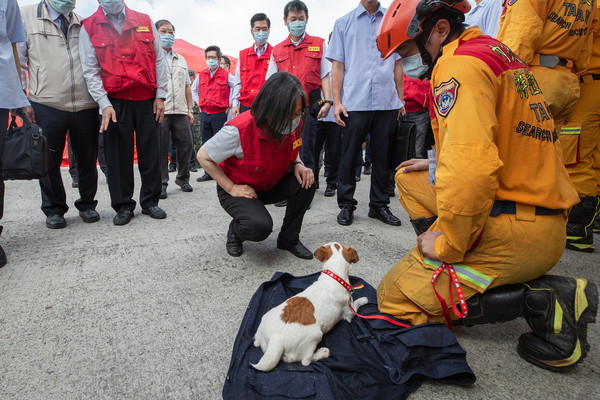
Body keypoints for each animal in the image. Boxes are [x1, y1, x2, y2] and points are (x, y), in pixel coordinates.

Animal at [251, 242, 368, 370]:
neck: (334, 277)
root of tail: (275, 340)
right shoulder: (350, 313)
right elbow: (357, 303)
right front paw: (364, 299)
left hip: (263, 322)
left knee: (256, 342)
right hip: (316, 335)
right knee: (306, 360)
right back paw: (322, 353)